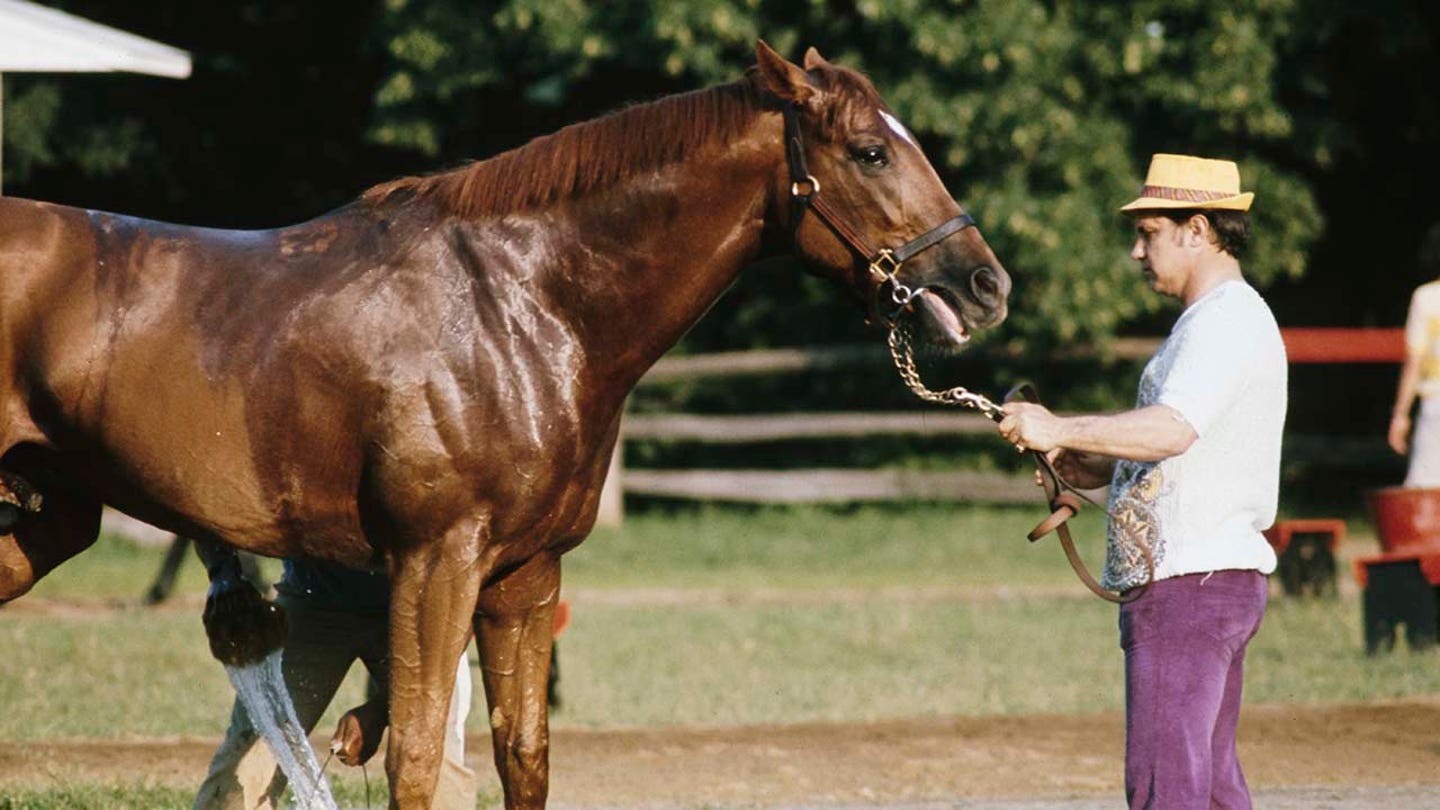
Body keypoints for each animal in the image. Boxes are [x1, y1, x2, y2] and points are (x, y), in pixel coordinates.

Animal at [0, 45, 1013, 807]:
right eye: (870, 153)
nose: (983, 285)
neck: (522, 305)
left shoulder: (525, 581)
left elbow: (523, 757)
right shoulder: (436, 563)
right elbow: (414, 758)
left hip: (47, 519)